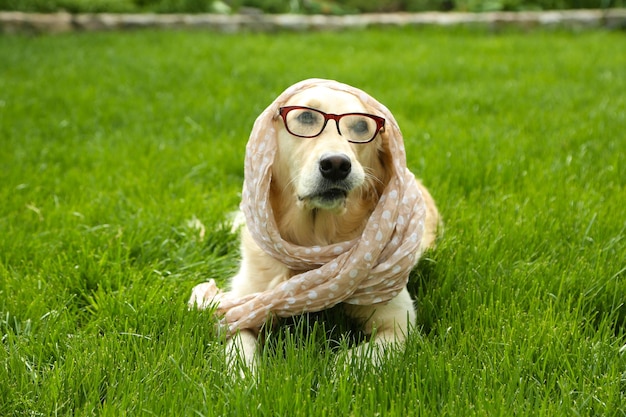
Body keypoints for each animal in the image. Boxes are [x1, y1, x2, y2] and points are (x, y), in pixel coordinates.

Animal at [190, 79, 438, 372]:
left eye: (362, 126)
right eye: (307, 117)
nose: (336, 165)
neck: (315, 243)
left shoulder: (400, 325)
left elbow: (352, 360)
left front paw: (328, 372)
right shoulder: (243, 304)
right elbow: (241, 350)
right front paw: (245, 378)